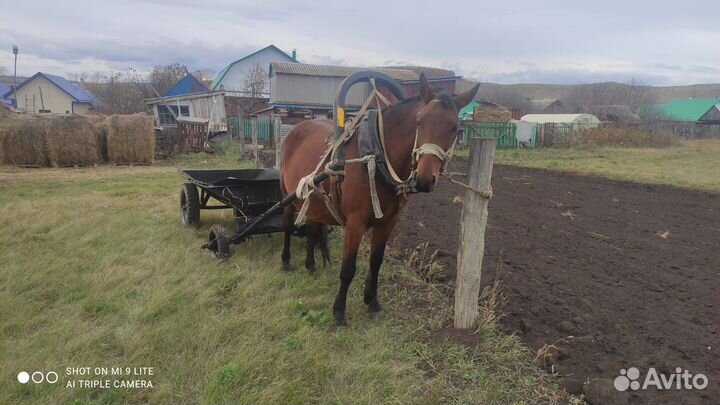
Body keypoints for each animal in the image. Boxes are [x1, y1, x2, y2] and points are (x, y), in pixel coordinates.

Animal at [280, 73, 479, 326]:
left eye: (454, 128)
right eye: (419, 122)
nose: (425, 179)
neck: (375, 155)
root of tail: (296, 129)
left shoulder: (389, 222)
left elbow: (376, 262)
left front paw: (372, 301)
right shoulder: (355, 223)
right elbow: (348, 268)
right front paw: (339, 312)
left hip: (316, 200)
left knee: (313, 229)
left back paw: (311, 266)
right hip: (287, 195)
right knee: (287, 226)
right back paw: (286, 261)